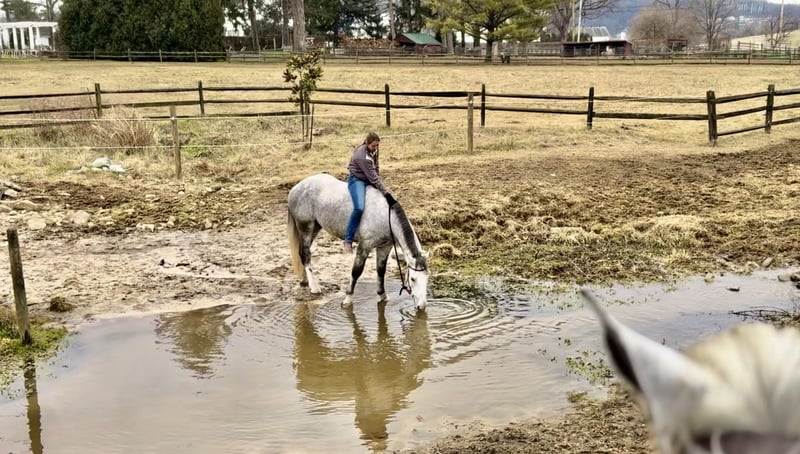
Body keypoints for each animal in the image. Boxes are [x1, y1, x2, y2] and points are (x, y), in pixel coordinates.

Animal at [287, 173, 429, 310]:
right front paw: (347, 299)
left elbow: (381, 271)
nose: (421, 306)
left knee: (303, 253)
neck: (385, 216)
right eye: (413, 279)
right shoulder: (365, 245)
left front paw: (383, 296)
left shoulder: (384, 247)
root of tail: (296, 188)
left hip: (315, 227)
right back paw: (315, 288)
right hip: (306, 227)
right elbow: (356, 271)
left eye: (427, 277)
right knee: (305, 253)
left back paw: (305, 281)